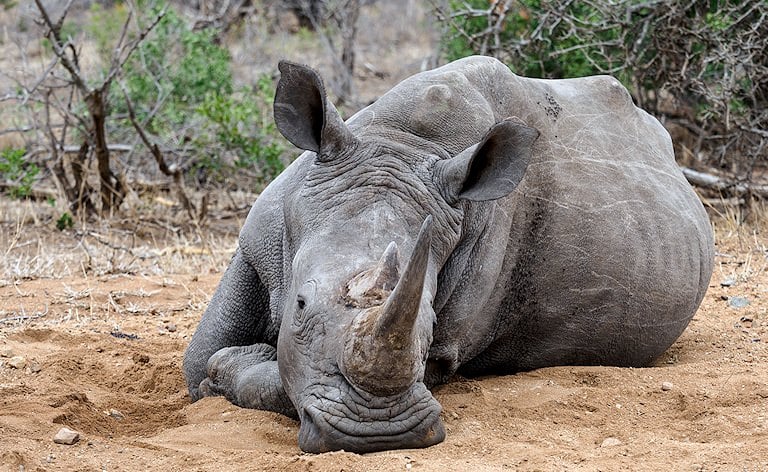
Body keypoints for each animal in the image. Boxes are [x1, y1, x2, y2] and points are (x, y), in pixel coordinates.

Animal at [183, 56, 714, 453]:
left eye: (432, 324)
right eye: (299, 304)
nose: (377, 433)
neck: (403, 144)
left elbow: (271, 377)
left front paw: (235, 366)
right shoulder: (257, 245)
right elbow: (200, 359)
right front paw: (225, 370)